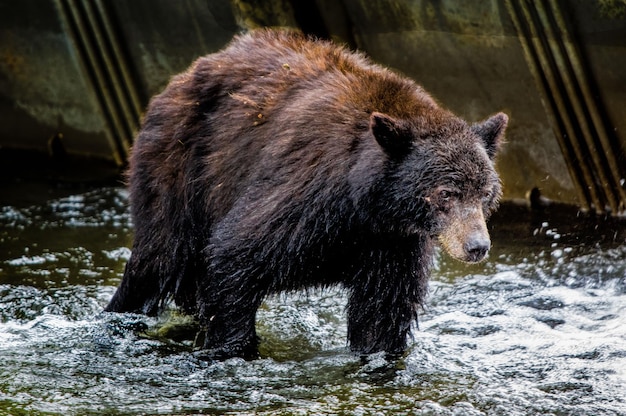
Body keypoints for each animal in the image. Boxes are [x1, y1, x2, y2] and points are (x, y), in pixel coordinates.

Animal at [105, 29, 504, 360]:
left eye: (485, 193)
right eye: (446, 193)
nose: (476, 246)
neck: (364, 204)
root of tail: (184, 75)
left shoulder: (392, 245)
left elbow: (382, 313)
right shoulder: (303, 196)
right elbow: (235, 254)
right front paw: (233, 346)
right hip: (180, 169)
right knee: (157, 259)